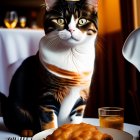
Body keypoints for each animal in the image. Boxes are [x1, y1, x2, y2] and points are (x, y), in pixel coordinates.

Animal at [0, 0, 97, 137]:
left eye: (82, 21)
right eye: (60, 20)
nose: (71, 29)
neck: (71, 54)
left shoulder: (81, 96)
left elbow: (76, 120)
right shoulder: (47, 95)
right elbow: (48, 122)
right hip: (15, 106)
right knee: (14, 123)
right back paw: (27, 131)